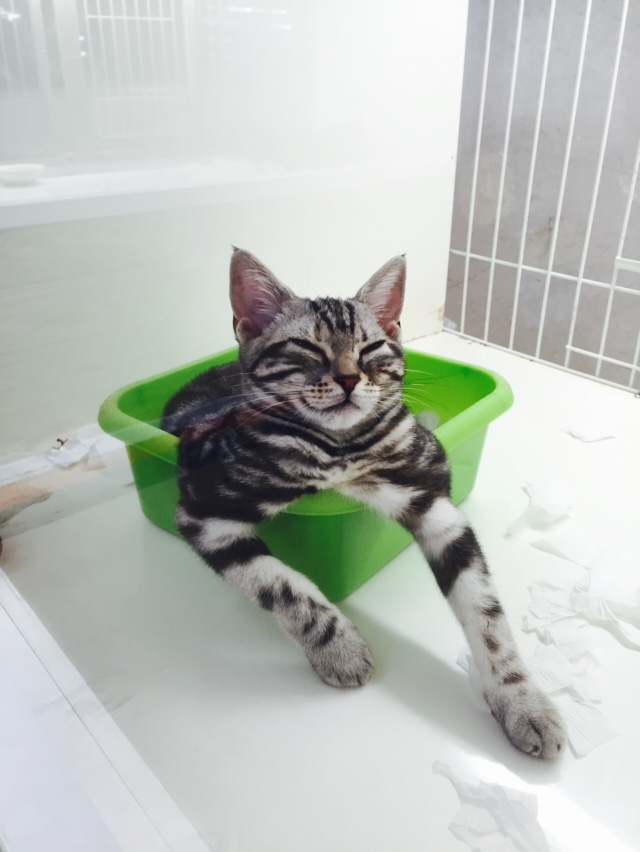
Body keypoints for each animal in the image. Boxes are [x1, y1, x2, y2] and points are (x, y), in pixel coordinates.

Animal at [161, 248, 566, 759]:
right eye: (307, 349)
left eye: (370, 349)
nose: (351, 378)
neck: (340, 450)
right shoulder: (203, 510)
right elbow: (283, 586)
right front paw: (341, 650)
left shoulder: (435, 501)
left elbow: (486, 612)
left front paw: (521, 699)